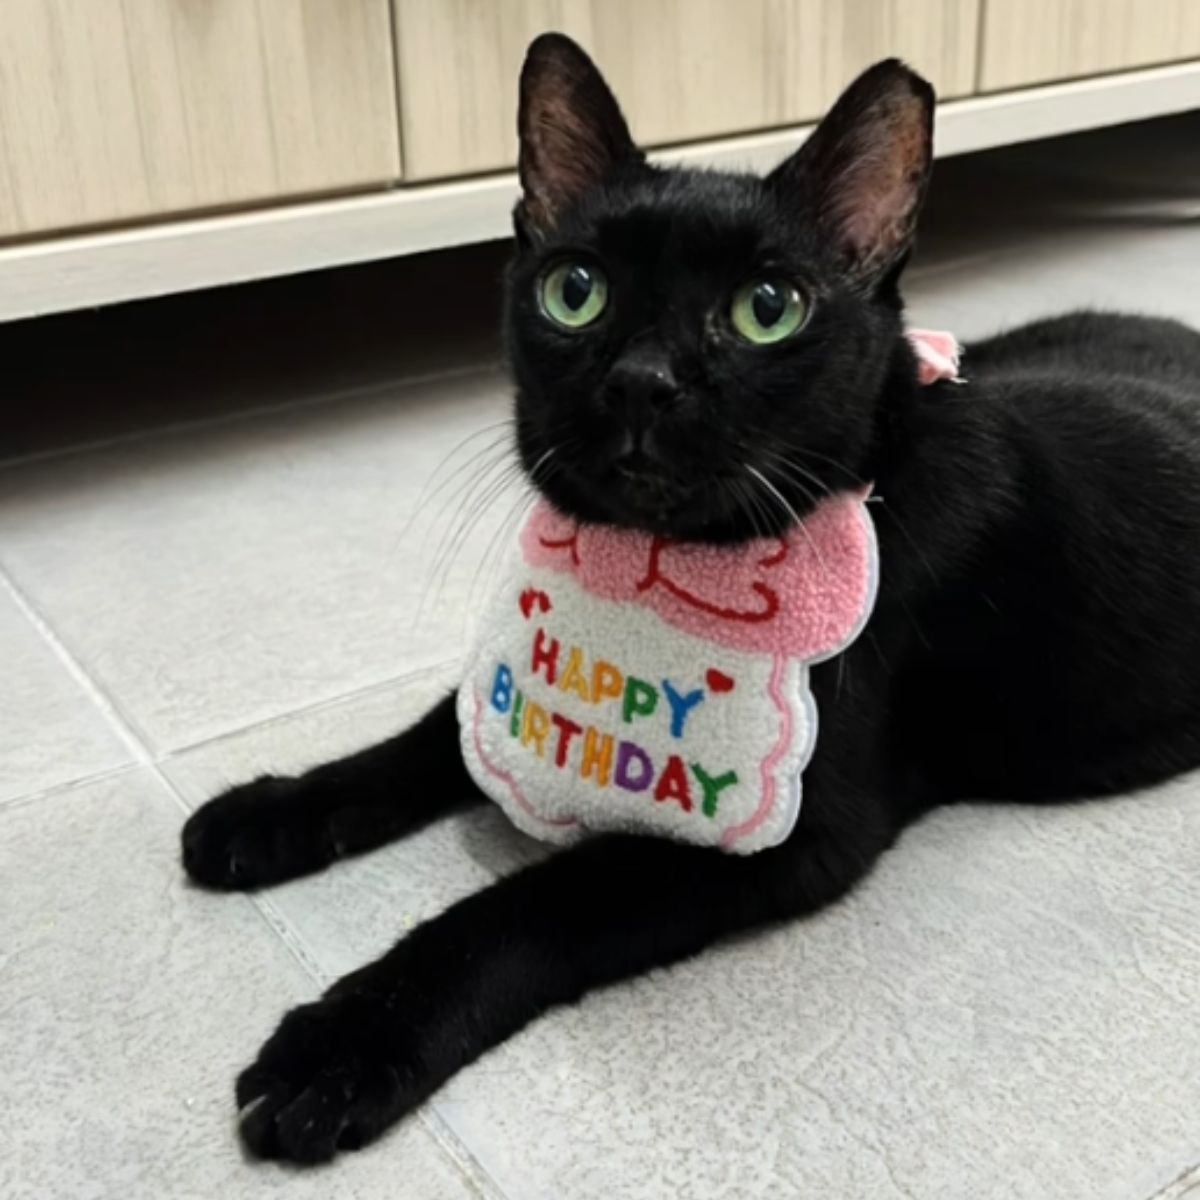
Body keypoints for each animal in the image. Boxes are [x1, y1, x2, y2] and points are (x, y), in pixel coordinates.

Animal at [177, 35, 1200, 1161]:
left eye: (769, 309)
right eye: (575, 290)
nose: (641, 380)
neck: (647, 568)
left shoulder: (788, 837)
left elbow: (528, 909)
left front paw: (345, 1044)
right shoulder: (499, 695)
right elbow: (420, 740)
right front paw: (269, 812)